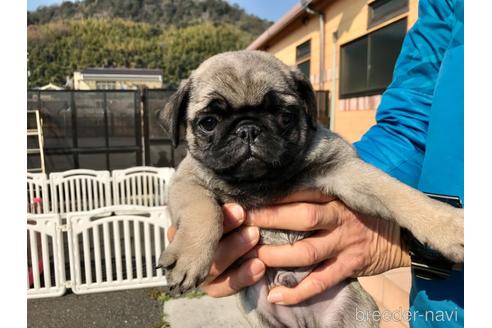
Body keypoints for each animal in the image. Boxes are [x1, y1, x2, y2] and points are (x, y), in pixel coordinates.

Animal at [156, 50, 464, 326]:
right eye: (209, 122)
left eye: (284, 115)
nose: (248, 129)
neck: (262, 181)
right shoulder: (186, 181)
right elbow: (204, 212)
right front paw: (190, 257)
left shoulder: (344, 168)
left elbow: (395, 191)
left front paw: (446, 226)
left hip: (358, 309)